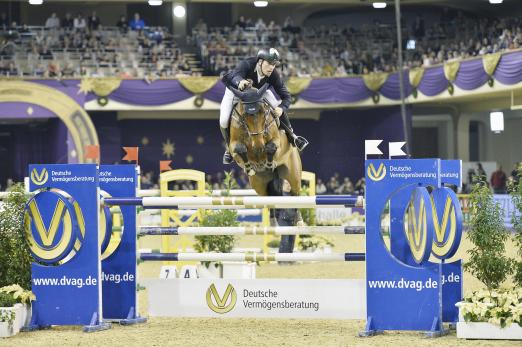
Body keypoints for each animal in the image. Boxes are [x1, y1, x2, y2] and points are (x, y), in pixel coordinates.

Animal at [225, 84, 302, 253]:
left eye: (263, 112)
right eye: (245, 115)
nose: (258, 145)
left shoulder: (276, 142)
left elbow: (271, 146)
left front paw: (267, 161)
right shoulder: (234, 146)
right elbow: (240, 149)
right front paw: (250, 166)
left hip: (293, 176)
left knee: (296, 196)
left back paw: (299, 221)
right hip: (259, 185)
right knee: (270, 200)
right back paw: (274, 224)